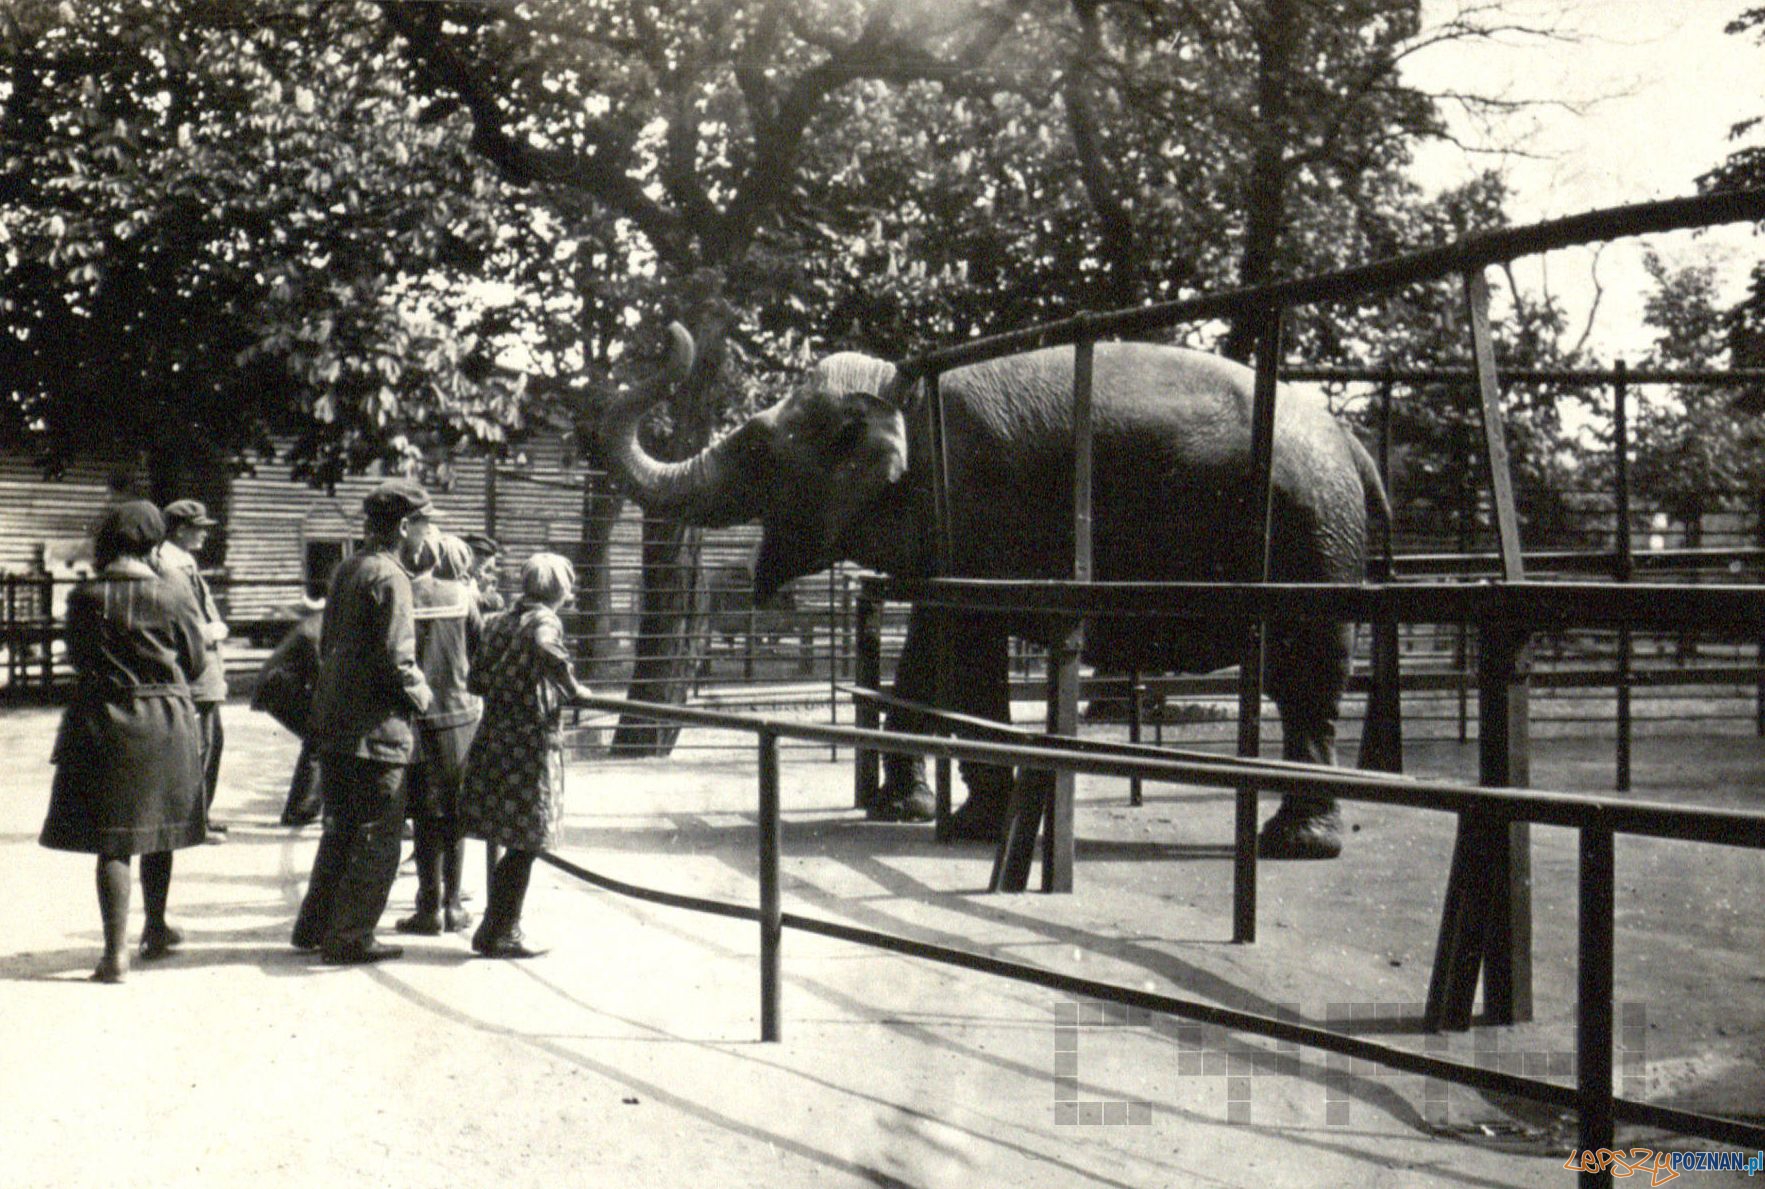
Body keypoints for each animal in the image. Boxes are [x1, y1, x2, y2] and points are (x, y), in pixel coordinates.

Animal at [607, 324, 1390, 857]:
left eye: (757, 449)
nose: (670, 336)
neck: (900, 388)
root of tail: (1353, 446)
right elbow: (925, 655)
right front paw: (905, 809)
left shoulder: (975, 506)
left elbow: (968, 655)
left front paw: (972, 826)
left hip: (1311, 540)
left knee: (1306, 672)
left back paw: (1295, 842)